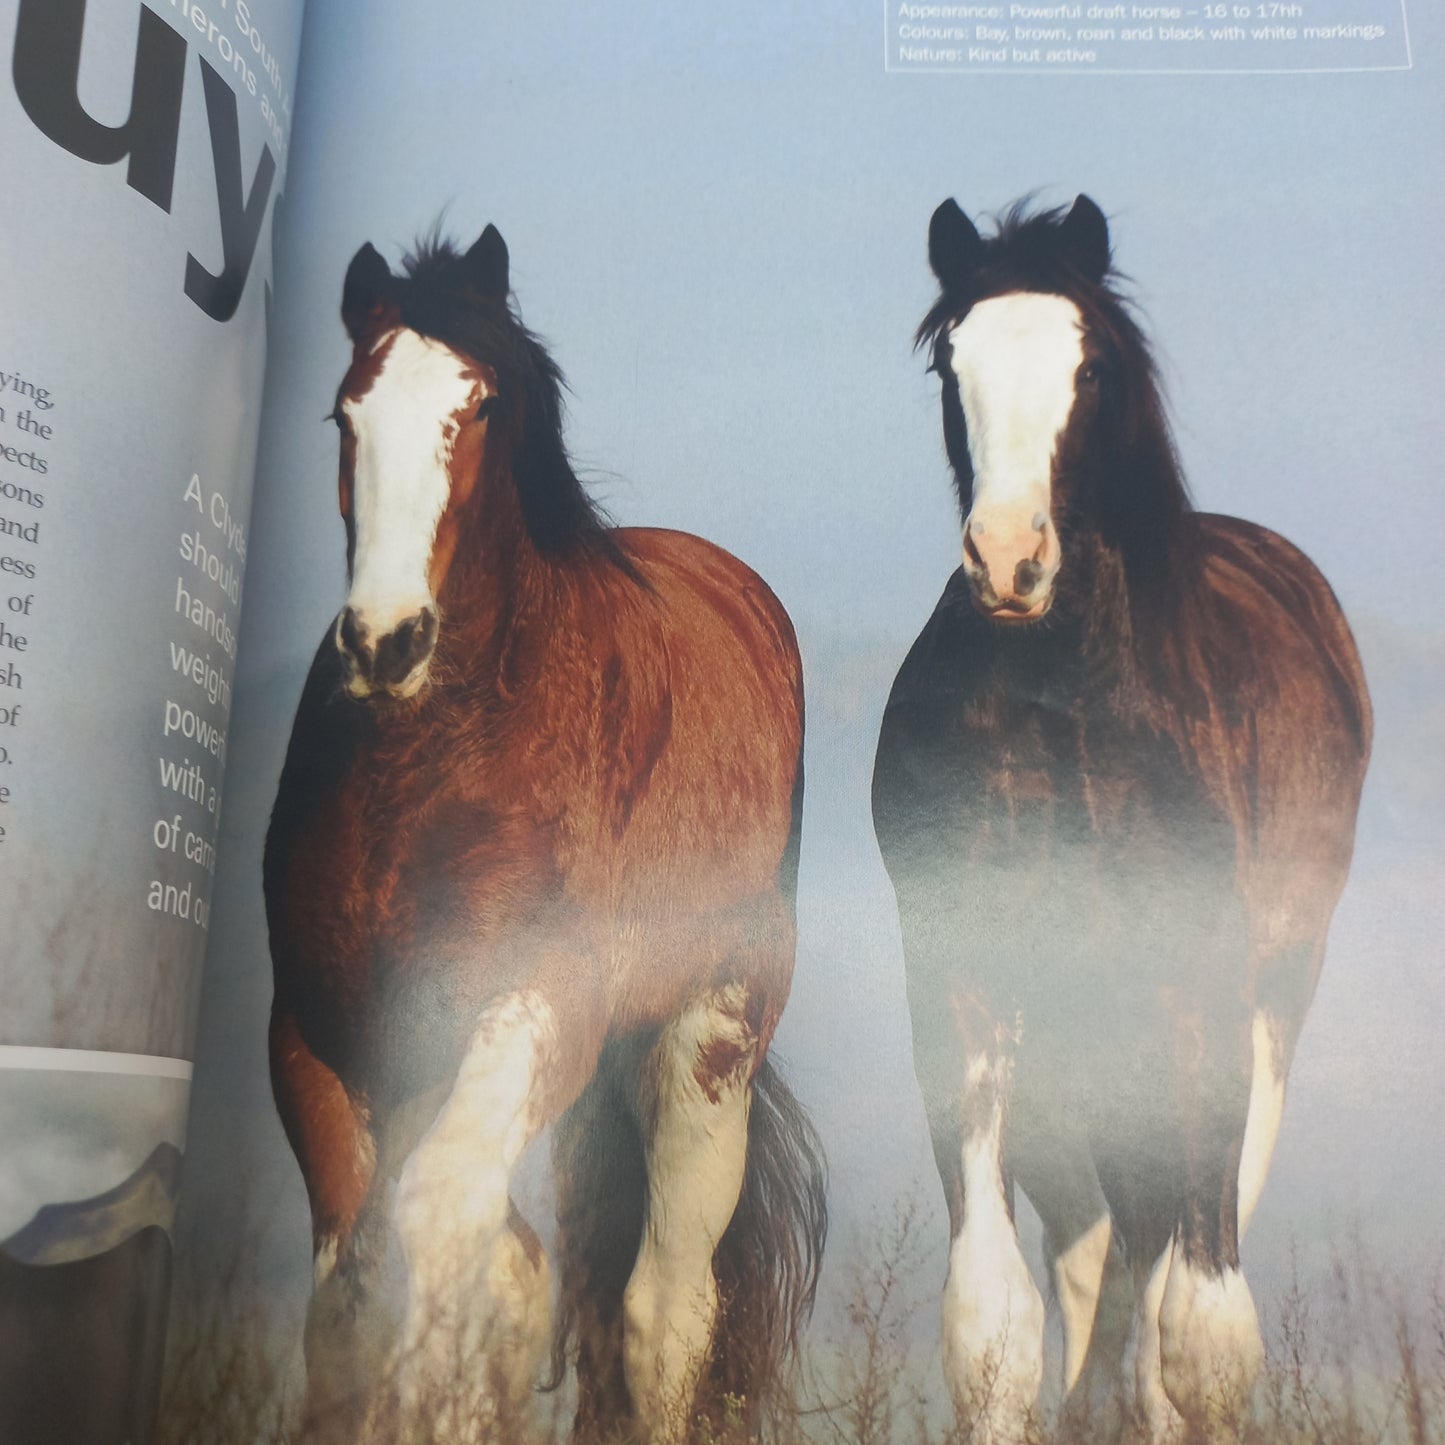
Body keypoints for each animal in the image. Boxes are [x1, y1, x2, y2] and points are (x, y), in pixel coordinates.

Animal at [263, 226, 826, 1445]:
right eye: (343, 413)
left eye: (476, 405)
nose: (385, 639)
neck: (429, 770)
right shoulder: (323, 1040)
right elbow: (352, 1294)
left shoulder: (542, 1003)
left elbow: (438, 1217)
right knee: (526, 1268)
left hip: (703, 1049)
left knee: (662, 1305)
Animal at [871, 196, 1371, 1441]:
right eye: (950, 362)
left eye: (1087, 365)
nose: (1008, 558)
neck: (1069, 714)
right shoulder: (960, 983)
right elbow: (992, 1325)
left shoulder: (1197, 994)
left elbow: (1200, 1335)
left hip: (1260, 1013)